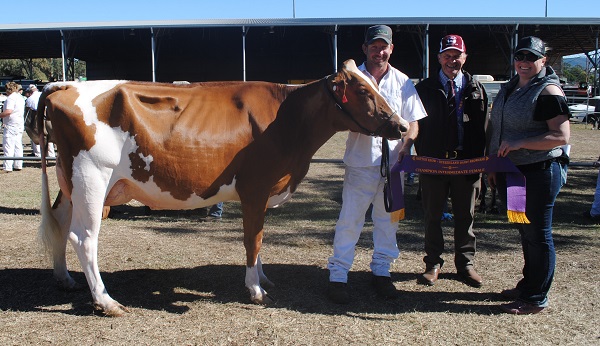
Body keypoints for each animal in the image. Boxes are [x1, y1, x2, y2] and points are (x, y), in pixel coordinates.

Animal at [36, 60, 408, 316]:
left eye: (376, 85)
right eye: (363, 91)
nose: (402, 126)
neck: (288, 120)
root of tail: (63, 86)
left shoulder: (261, 193)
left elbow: (258, 238)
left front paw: (263, 278)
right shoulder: (256, 187)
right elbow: (253, 239)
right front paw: (256, 290)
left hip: (70, 182)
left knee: (61, 224)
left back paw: (64, 279)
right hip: (92, 178)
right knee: (84, 237)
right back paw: (105, 301)